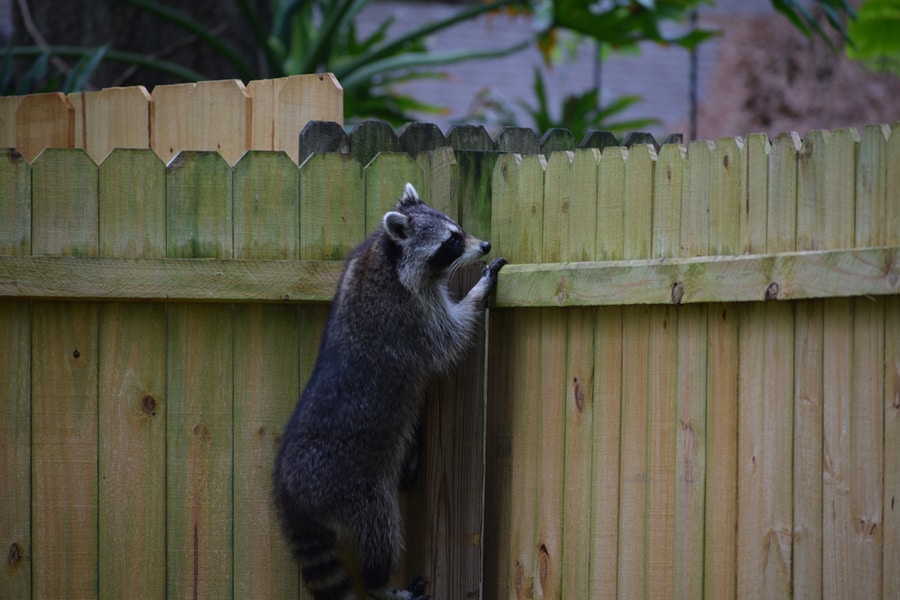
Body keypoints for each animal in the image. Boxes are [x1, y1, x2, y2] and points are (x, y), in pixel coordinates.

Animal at [272, 183, 506, 600]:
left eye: (458, 229)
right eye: (452, 240)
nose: (484, 244)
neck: (389, 254)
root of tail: (287, 489)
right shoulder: (411, 313)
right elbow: (449, 339)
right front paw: (479, 291)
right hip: (352, 488)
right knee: (379, 529)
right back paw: (380, 584)